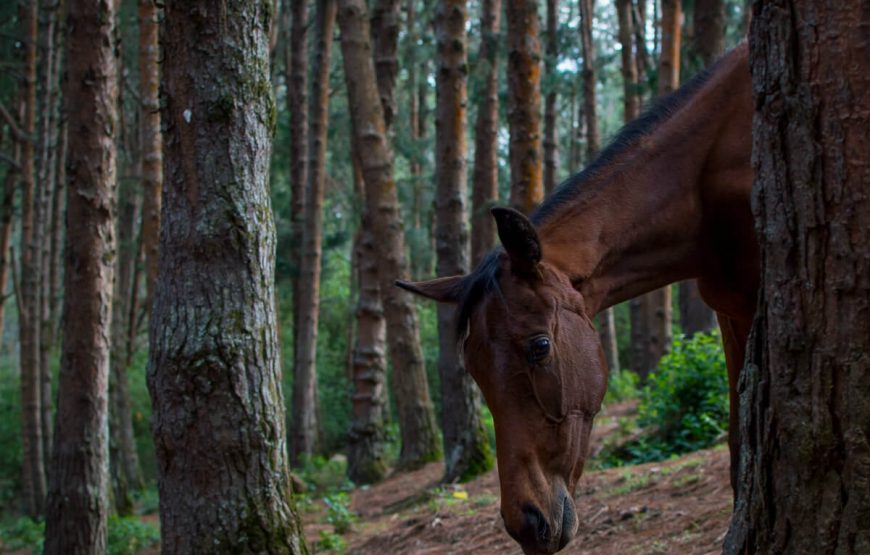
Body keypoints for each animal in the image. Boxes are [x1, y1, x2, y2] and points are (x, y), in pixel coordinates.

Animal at [398, 43, 752, 555]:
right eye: (473, 369)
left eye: (540, 347)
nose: (525, 525)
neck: (707, 167)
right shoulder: (732, 311)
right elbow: (739, 444)